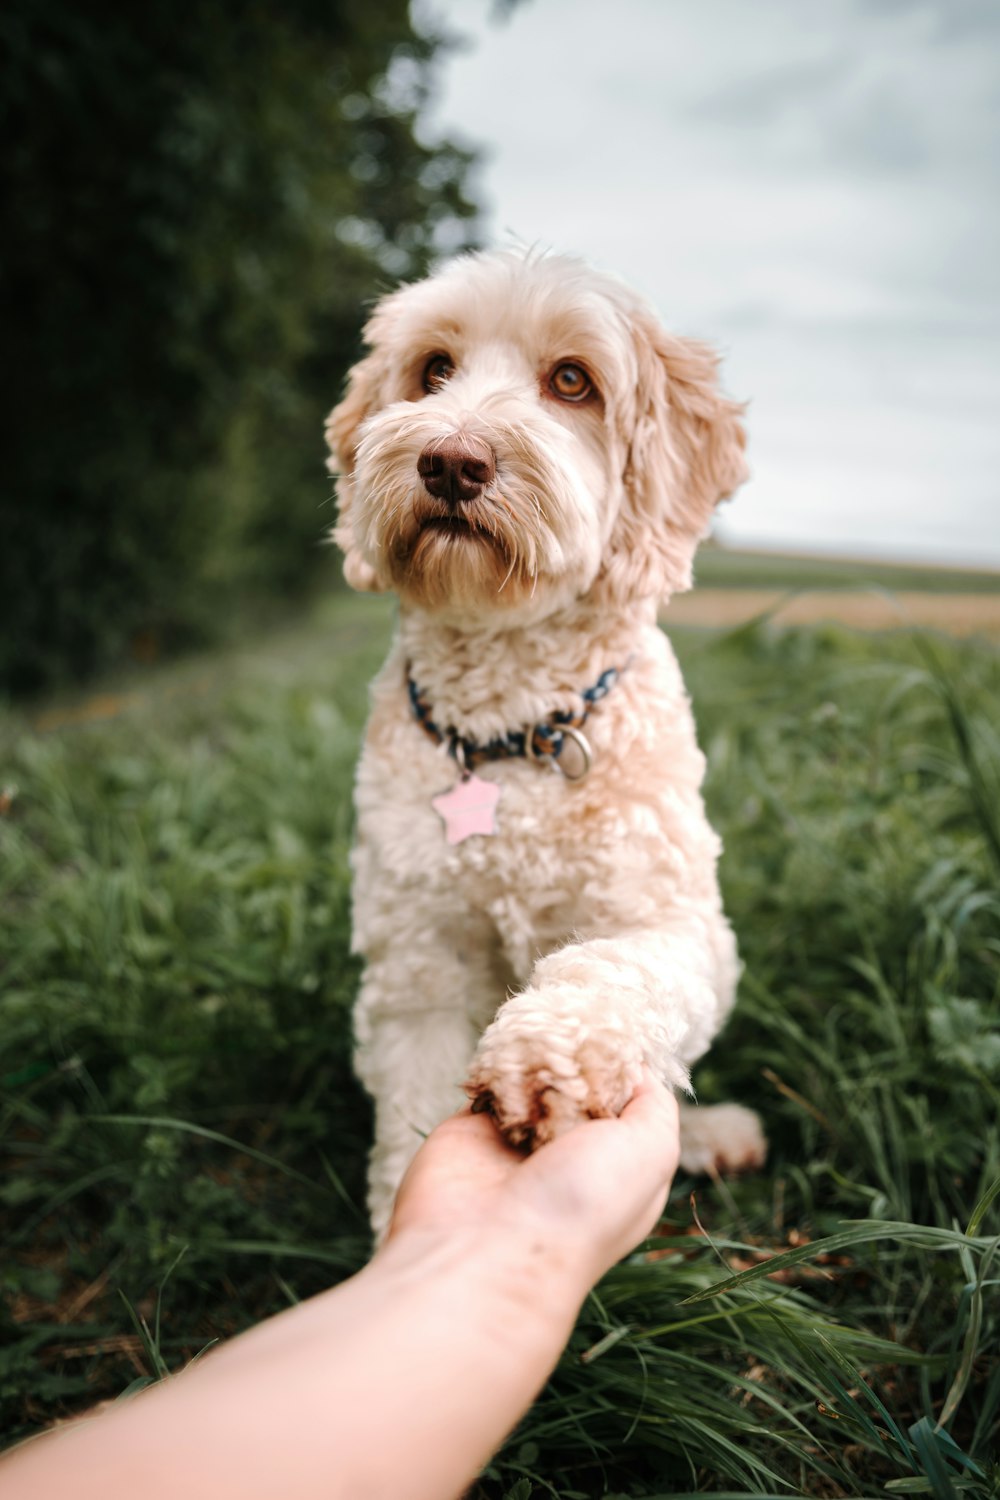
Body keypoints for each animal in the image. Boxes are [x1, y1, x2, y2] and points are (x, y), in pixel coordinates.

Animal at [328, 252, 767, 1236]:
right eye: (433, 370)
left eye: (572, 381)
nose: (452, 460)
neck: (509, 734)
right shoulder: (419, 960)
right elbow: (410, 1110)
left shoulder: (677, 920)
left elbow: (615, 964)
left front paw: (551, 1054)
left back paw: (713, 1134)